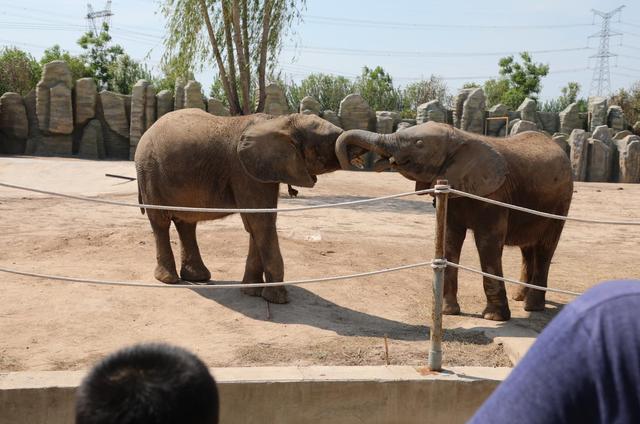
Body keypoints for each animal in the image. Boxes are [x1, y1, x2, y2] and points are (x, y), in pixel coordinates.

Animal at [136, 107, 356, 304]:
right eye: (328, 141)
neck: (278, 120)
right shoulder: (243, 171)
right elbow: (261, 222)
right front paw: (277, 299)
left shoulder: (261, 171)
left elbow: (257, 222)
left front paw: (251, 292)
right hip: (149, 173)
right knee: (161, 222)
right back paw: (169, 279)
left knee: (187, 222)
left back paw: (198, 277)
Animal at [336, 122, 576, 322]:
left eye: (419, 143)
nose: (355, 160)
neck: (460, 138)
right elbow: (450, 240)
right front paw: (447, 311)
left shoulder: (495, 195)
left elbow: (487, 244)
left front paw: (494, 317)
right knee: (528, 248)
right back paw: (520, 297)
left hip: (562, 202)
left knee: (545, 248)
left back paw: (532, 307)